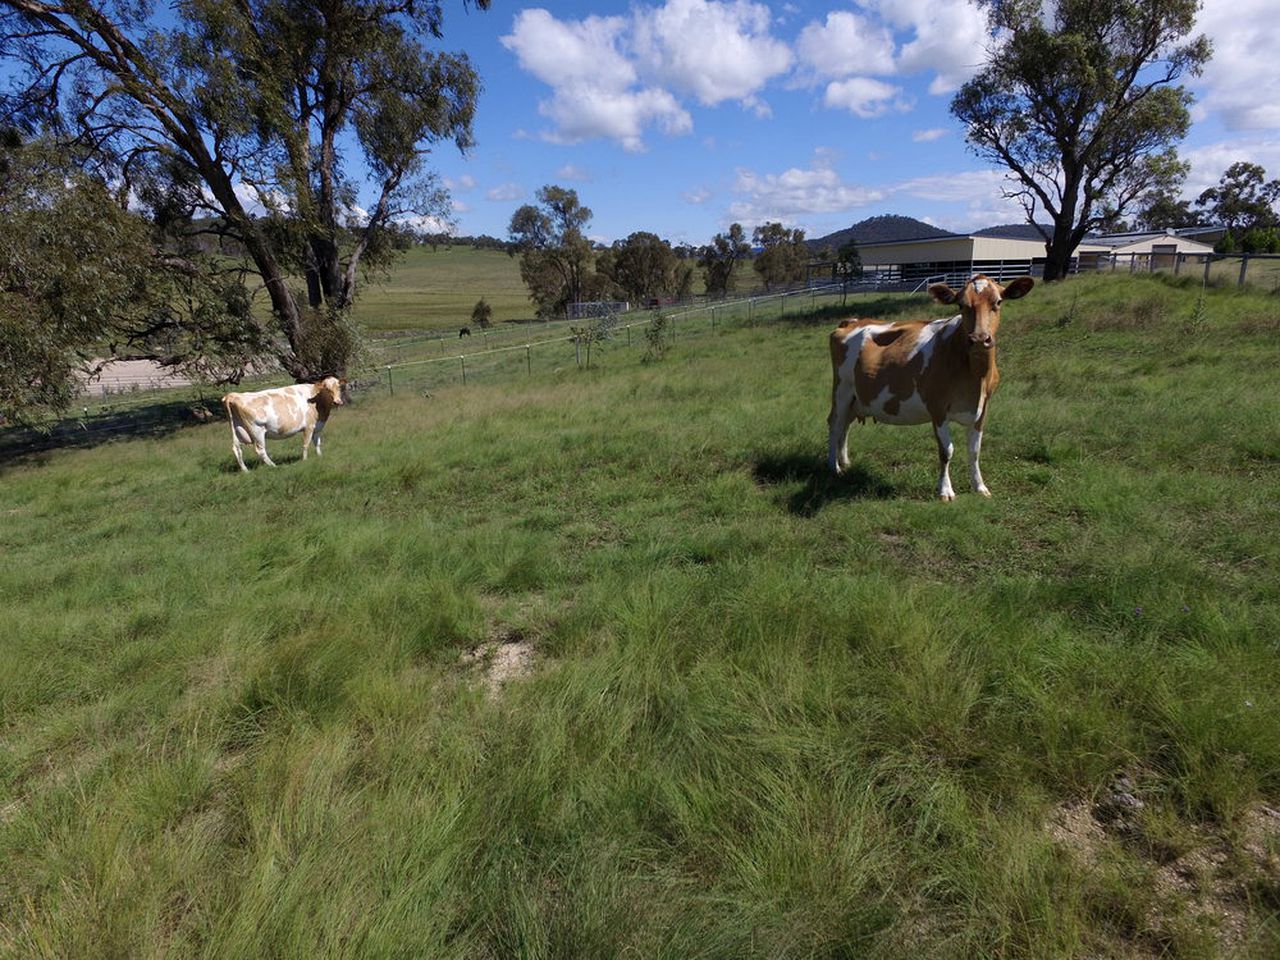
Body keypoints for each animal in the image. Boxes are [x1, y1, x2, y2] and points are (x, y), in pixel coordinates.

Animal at [824, 273, 1034, 504]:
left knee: (846, 425)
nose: (980, 338)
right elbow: (946, 451)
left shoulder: (983, 405)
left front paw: (980, 487)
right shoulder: (938, 407)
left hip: (856, 398)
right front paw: (945, 490)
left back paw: (845, 462)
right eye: (961, 305)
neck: (974, 376)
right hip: (841, 390)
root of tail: (853, 321)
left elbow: (974, 450)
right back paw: (834, 467)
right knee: (835, 424)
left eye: (998, 302)